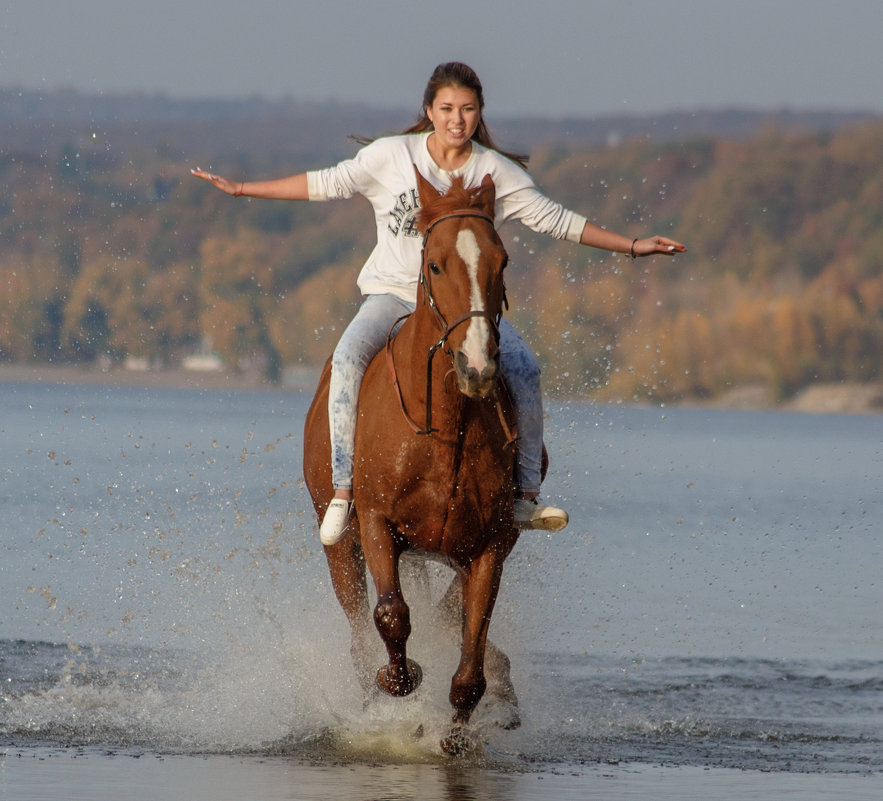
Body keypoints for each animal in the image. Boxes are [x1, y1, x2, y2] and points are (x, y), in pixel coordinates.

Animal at [306, 167, 516, 752]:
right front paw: (400, 679)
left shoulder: (489, 544)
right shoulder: (377, 524)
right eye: (436, 264)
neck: (446, 426)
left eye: (503, 262)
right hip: (340, 544)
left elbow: (469, 661)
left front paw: (456, 733)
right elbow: (391, 616)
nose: (477, 365)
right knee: (360, 627)